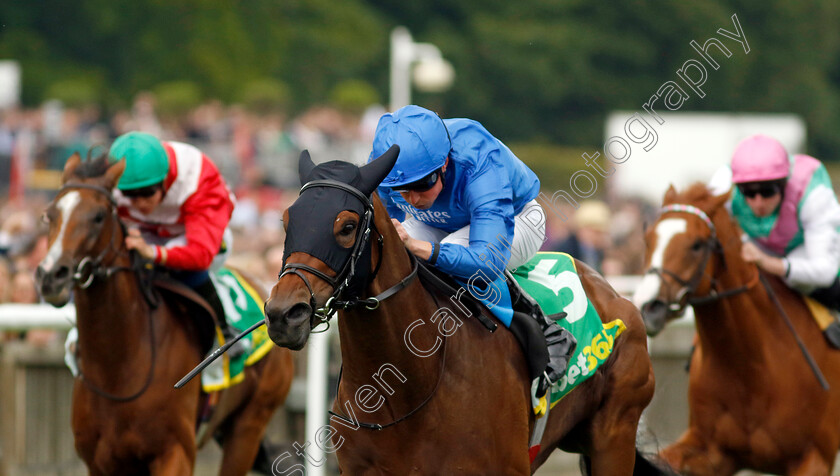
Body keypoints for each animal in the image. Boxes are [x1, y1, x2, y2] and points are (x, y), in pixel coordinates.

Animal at [34, 154, 296, 474]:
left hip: (249, 425)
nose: (50, 276)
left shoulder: (175, 453)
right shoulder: (99, 460)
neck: (118, 369)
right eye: (49, 215)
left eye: (98, 216)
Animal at [266, 148, 660, 472]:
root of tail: (611, 291)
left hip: (613, 436)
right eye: (286, 221)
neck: (405, 391)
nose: (284, 314)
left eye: (347, 226)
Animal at [632, 183, 840, 476]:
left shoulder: (815, 457)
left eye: (697, 245)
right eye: (648, 239)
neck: (752, 369)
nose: (648, 305)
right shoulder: (713, 450)